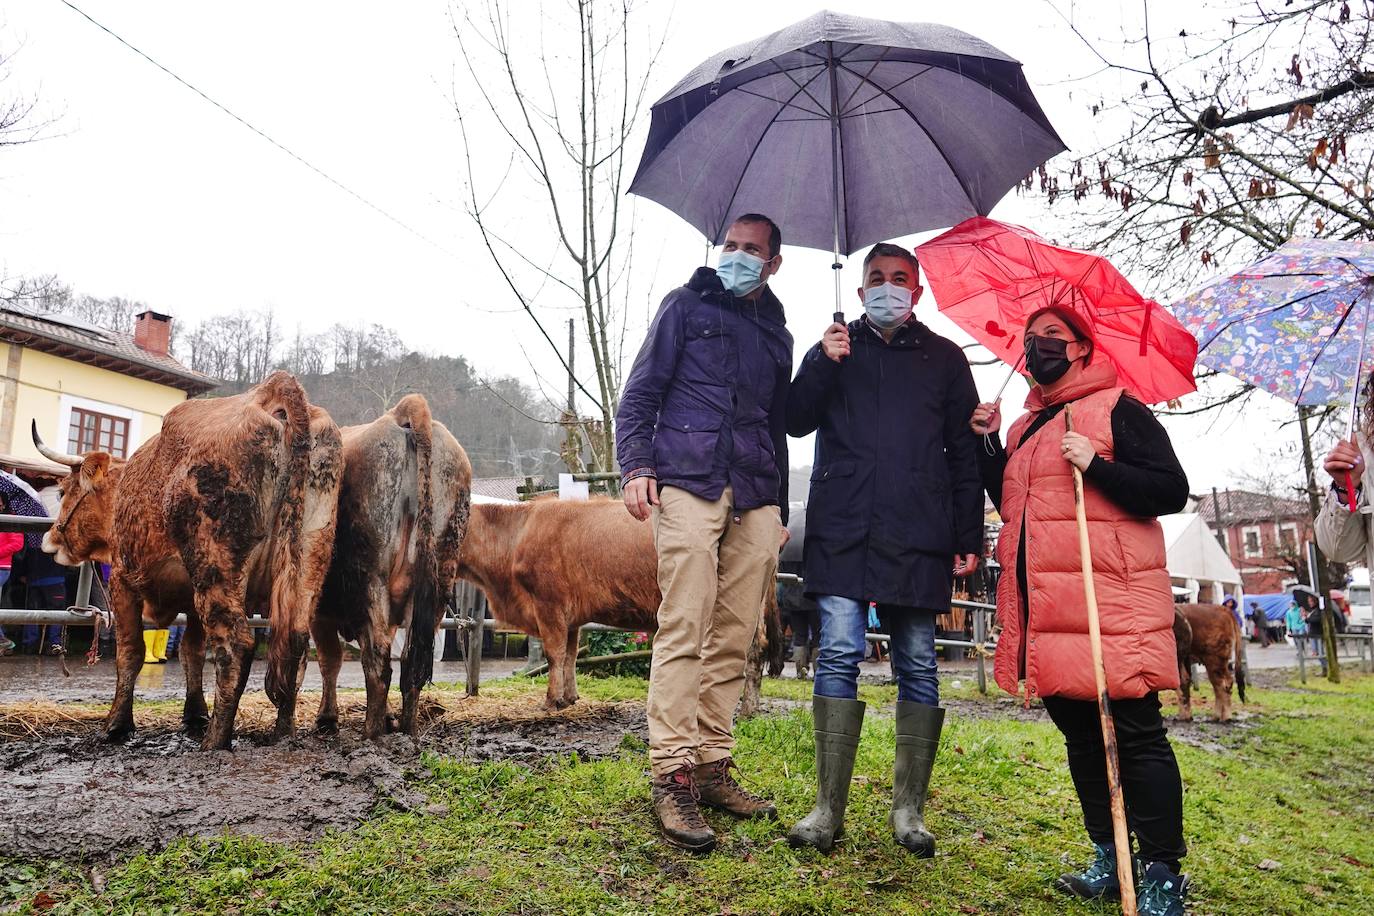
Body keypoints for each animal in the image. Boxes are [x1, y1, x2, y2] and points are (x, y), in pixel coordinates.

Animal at [34, 373, 340, 752]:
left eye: (63, 491)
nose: (50, 538)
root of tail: (268, 393)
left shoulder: (122, 580)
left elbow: (130, 651)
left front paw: (117, 725)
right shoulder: (191, 603)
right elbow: (191, 652)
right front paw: (194, 714)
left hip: (215, 568)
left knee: (236, 646)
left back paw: (215, 741)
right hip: (306, 567)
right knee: (294, 646)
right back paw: (282, 733)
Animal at [314, 398, 475, 741]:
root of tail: (406, 413)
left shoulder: (318, 610)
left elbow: (329, 660)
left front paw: (327, 719)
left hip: (372, 579)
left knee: (377, 660)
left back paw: (371, 732)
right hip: (439, 579)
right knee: (409, 663)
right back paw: (408, 728)